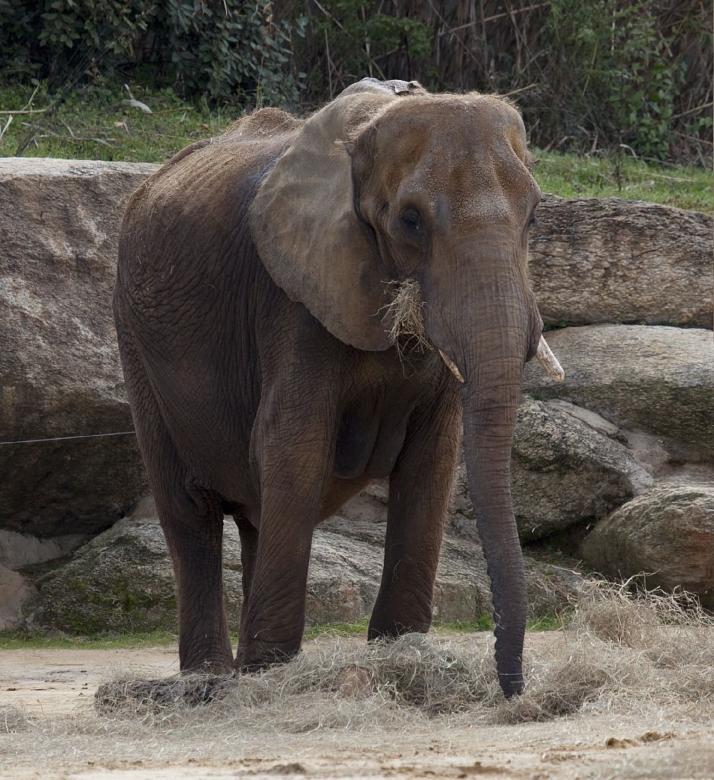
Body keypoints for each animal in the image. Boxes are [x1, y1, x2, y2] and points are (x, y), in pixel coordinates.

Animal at [113, 77, 562, 699]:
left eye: (535, 215)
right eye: (410, 221)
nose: (515, 690)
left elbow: (433, 462)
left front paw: (401, 653)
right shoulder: (291, 295)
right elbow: (294, 445)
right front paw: (269, 672)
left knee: (254, 512)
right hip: (134, 336)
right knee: (189, 511)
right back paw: (213, 679)